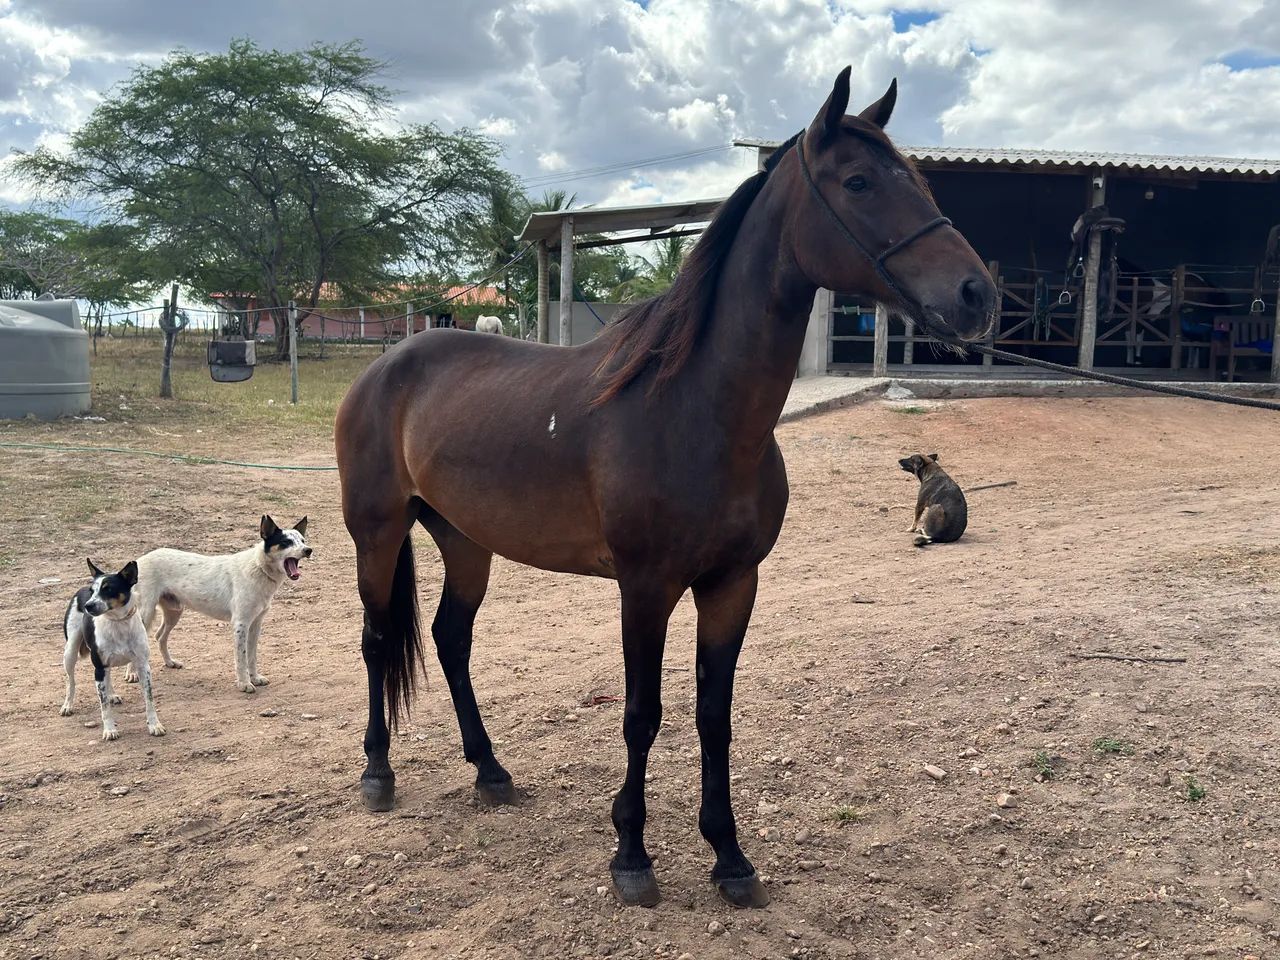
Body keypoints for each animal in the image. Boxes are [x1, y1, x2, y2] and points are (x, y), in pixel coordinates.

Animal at [334, 67, 995, 909]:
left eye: (919, 179)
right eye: (858, 182)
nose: (977, 294)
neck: (695, 411)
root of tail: (386, 366)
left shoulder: (732, 584)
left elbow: (714, 715)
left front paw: (730, 857)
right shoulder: (645, 588)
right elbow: (641, 715)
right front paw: (631, 854)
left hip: (466, 541)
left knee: (452, 640)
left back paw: (490, 771)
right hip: (378, 532)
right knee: (376, 639)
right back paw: (377, 772)